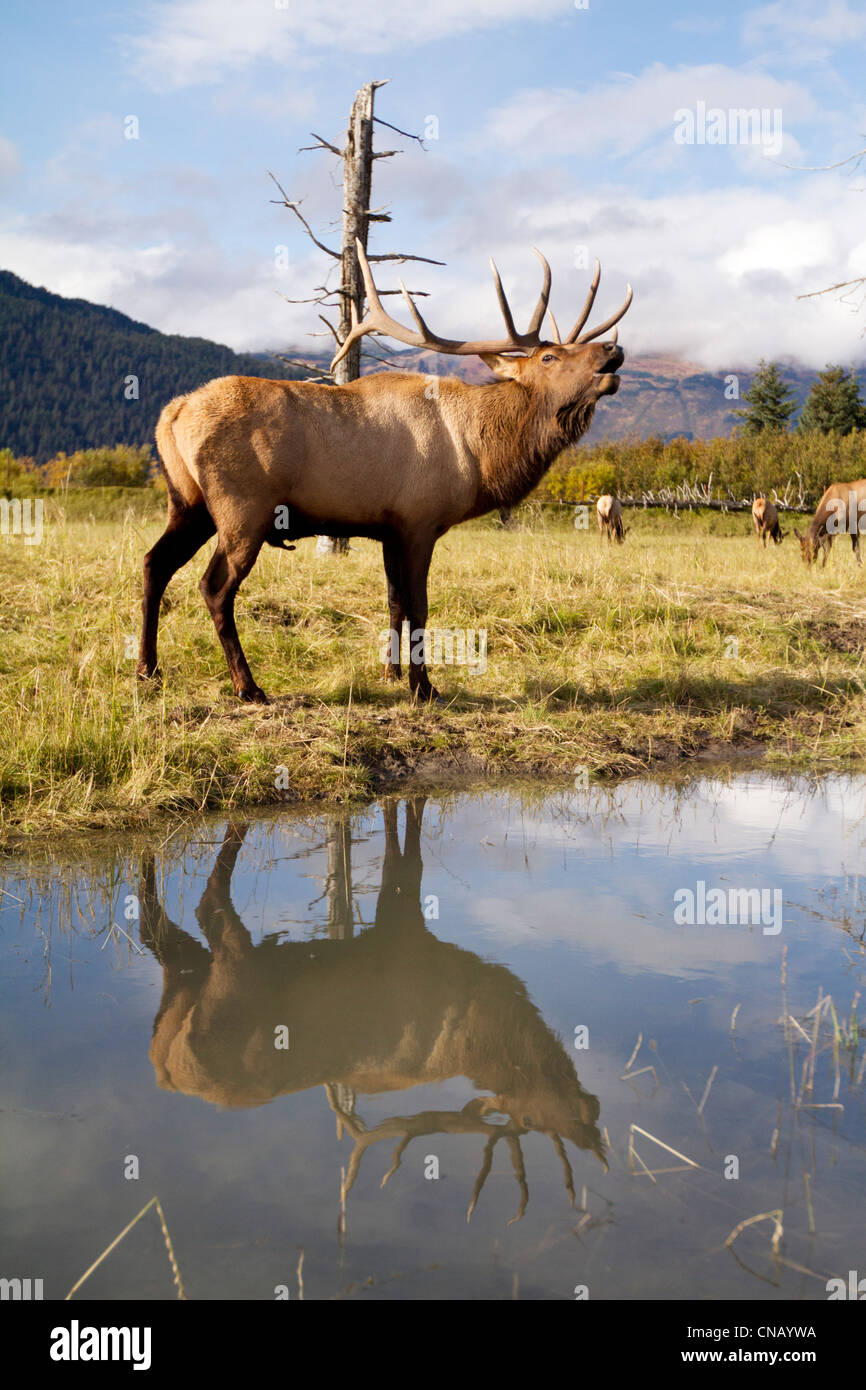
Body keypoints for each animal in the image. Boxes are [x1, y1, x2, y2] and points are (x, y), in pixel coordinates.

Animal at [139, 234, 633, 706]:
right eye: (550, 358)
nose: (613, 347)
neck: (478, 454)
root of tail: (172, 414)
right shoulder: (419, 520)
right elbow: (419, 605)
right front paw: (424, 687)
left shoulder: (388, 527)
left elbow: (394, 602)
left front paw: (390, 673)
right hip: (243, 508)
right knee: (214, 587)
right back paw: (248, 687)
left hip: (189, 504)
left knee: (154, 562)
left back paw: (148, 669)